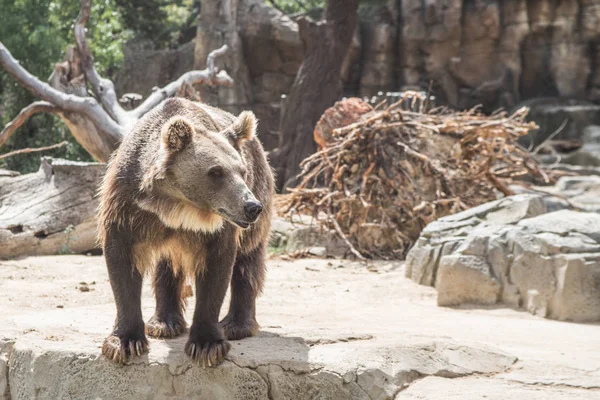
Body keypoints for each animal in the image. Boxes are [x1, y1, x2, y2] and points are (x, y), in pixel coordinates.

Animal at [98, 96, 274, 366]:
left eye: (242, 171)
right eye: (215, 171)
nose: (251, 207)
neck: (175, 206)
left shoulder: (219, 227)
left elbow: (217, 269)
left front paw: (206, 344)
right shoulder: (126, 205)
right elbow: (122, 261)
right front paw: (125, 341)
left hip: (261, 190)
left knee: (248, 259)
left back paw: (236, 325)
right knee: (167, 266)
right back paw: (163, 323)